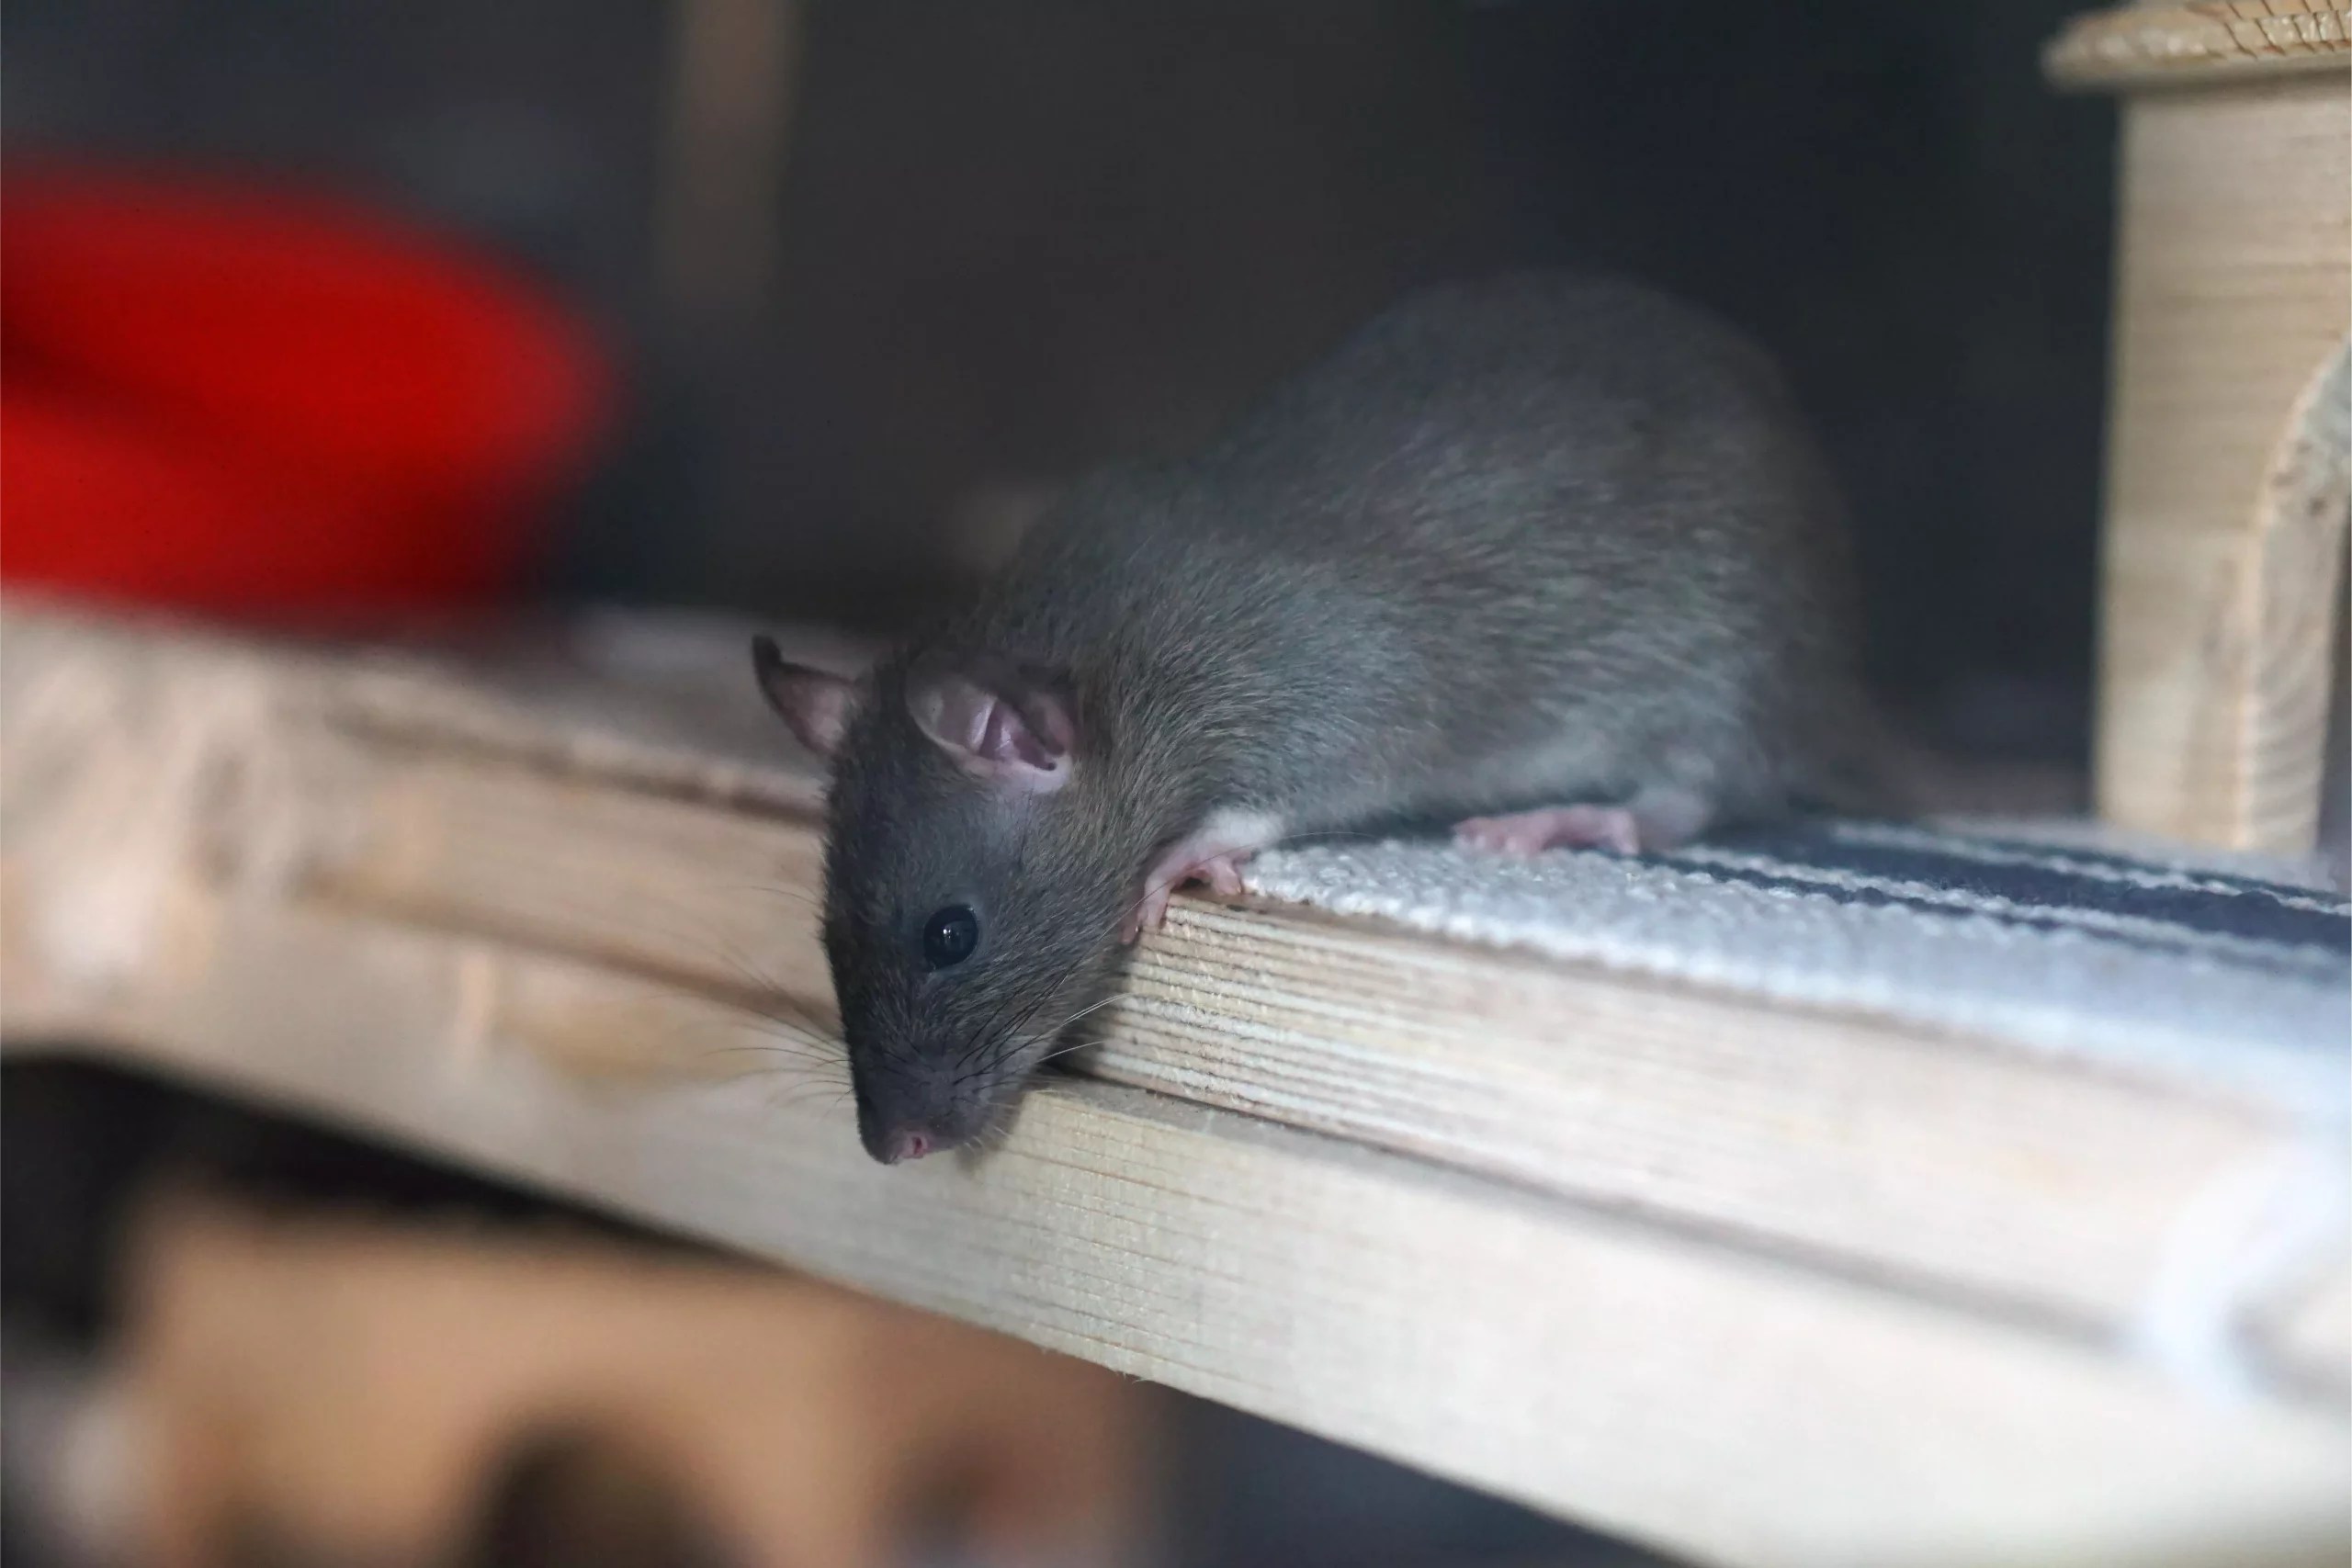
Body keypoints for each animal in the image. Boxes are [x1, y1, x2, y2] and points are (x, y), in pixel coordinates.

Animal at [755, 271, 1882, 1164]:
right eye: (826, 934)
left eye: (950, 934)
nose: (889, 1145)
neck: (1079, 643)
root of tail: (1838, 685)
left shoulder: (1319, 681)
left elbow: (1319, 768)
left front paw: (1187, 853)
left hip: (1725, 673)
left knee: (1689, 798)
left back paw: (1572, 817)